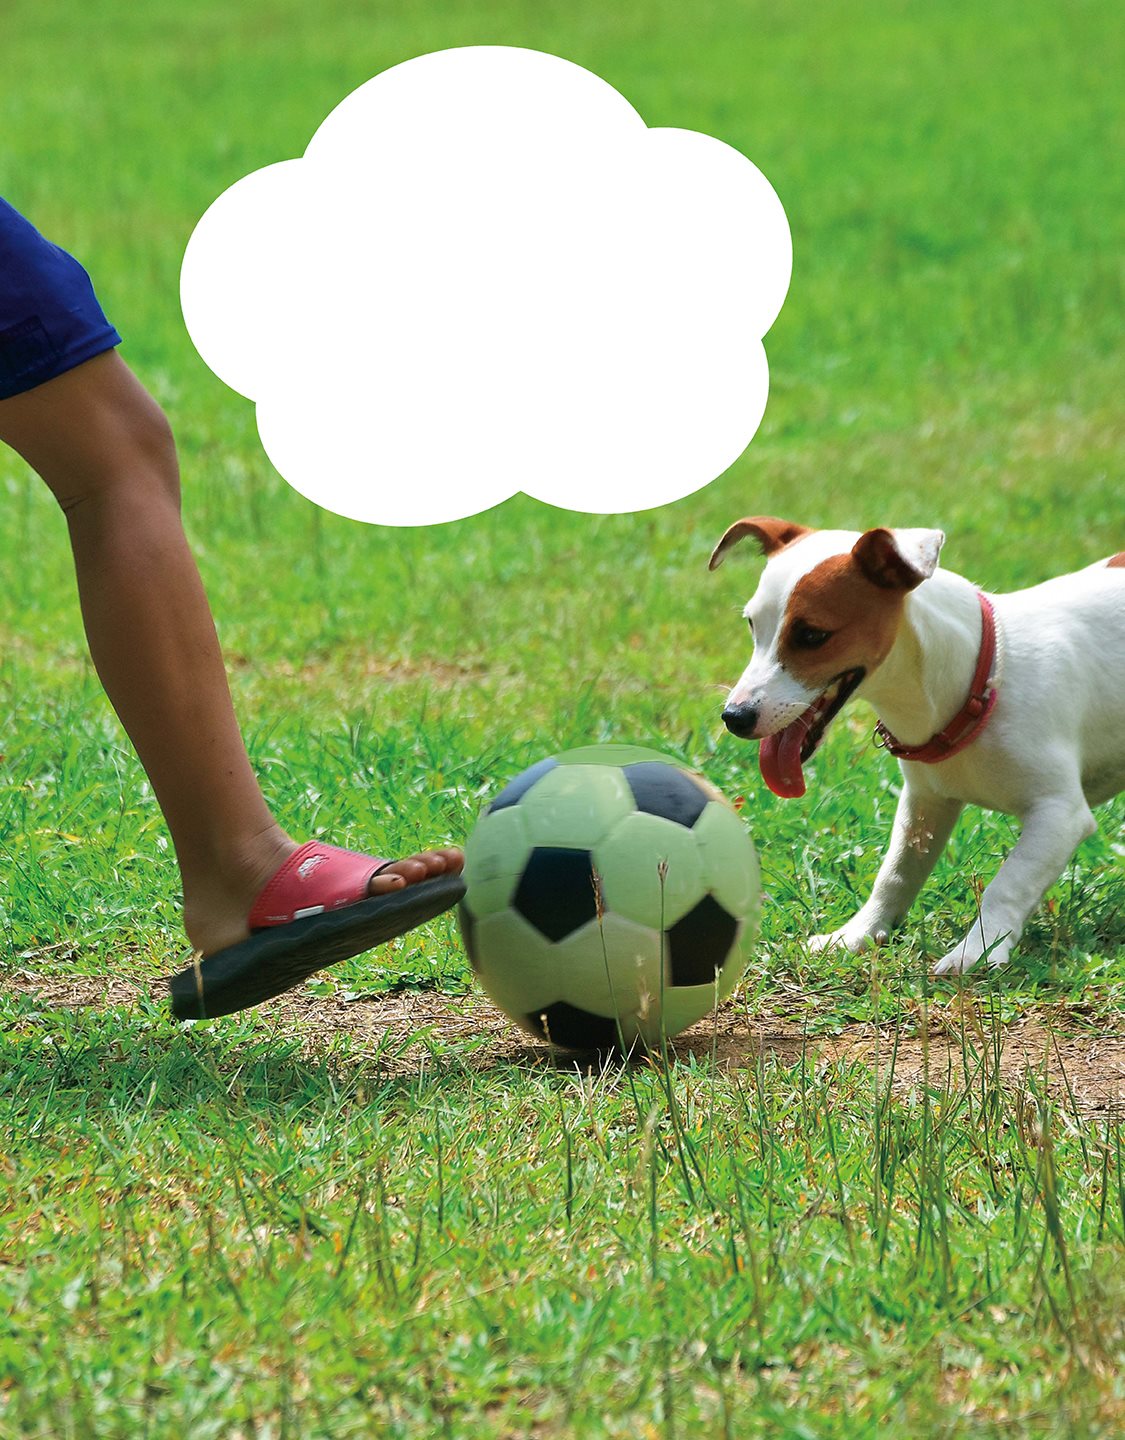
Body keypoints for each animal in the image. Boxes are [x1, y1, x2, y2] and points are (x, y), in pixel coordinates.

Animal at [711, 515, 1123, 967]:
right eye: (752, 625)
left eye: (812, 635)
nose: (734, 717)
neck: (984, 678)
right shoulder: (925, 803)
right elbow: (896, 872)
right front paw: (857, 933)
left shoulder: (1059, 815)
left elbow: (1009, 882)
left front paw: (976, 952)